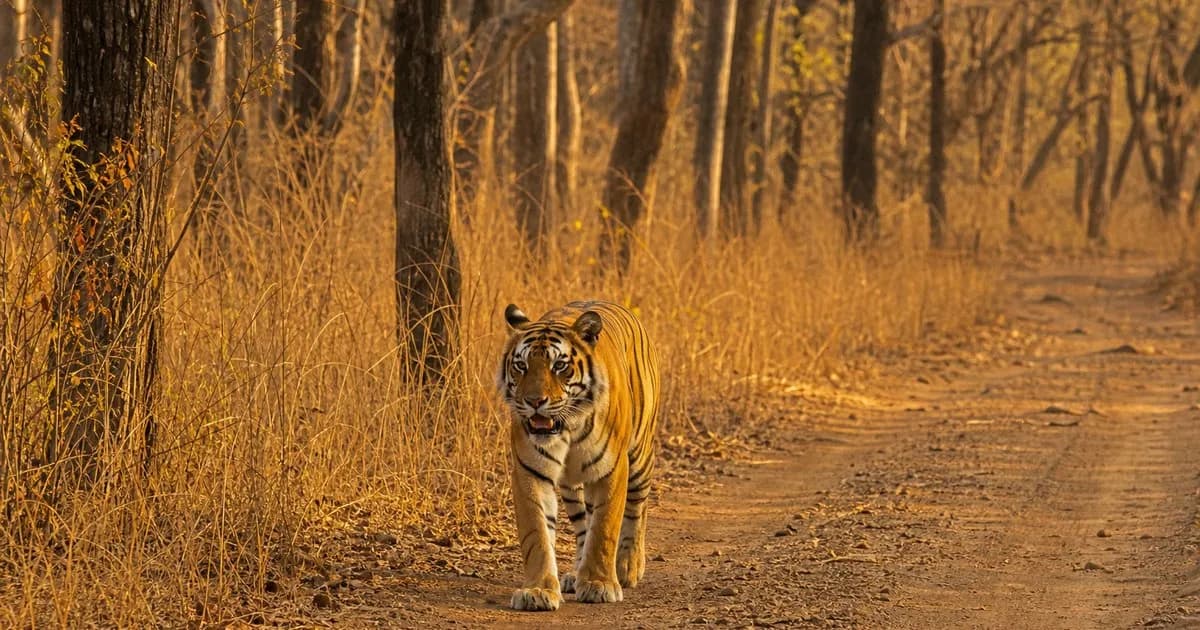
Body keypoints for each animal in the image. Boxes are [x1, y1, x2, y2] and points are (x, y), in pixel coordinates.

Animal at [497, 300, 661, 611]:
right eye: (521, 366)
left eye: (559, 366)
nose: (534, 401)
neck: (568, 427)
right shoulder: (529, 471)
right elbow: (537, 533)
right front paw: (538, 590)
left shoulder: (612, 469)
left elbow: (604, 528)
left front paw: (599, 584)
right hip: (570, 485)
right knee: (583, 524)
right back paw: (576, 573)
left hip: (640, 456)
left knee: (637, 508)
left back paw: (628, 566)